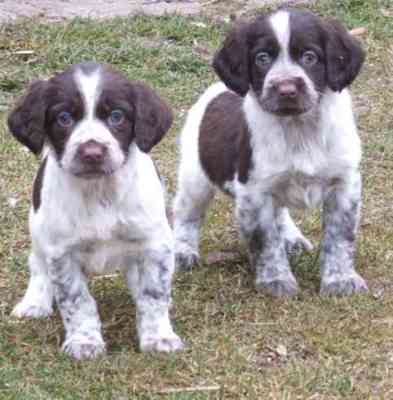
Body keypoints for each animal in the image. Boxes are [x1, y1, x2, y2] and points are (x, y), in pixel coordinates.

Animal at [8, 61, 184, 360]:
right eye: (64, 118)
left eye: (116, 116)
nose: (92, 153)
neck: (99, 190)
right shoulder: (62, 252)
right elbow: (77, 301)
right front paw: (84, 342)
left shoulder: (154, 243)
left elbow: (153, 294)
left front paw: (158, 337)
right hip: (38, 228)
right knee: (37, 264)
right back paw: (34, 302)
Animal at [174, 8, 368, 296]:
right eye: (262, 58)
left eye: (310, 57)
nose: (286, 89)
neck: (299, 129)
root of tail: (216, 91)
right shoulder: (254, 191)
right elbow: (266, 242)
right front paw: (276, 280)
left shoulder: (344, 184)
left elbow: (339, 238)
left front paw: (340, 279)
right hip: (195, 177)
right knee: (187, 213)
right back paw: (182, 251)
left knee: (280, 210)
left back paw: (292, 237)